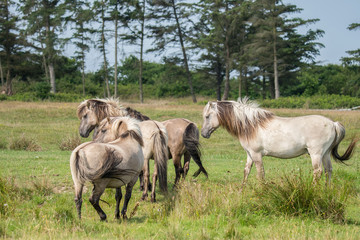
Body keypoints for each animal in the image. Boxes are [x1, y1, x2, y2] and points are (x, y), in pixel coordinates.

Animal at [201, 97, 356, 186]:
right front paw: (242, 189)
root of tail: (333, 123)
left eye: (207, 116)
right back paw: (326, 190)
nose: (203, 134)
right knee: (328, 170)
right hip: (326, 154)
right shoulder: (249, 154)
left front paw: (261, 191)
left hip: (316, 154)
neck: (251, 125)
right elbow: (246, 171)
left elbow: (260, 173)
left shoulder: (256, 155)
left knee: (318, 171)